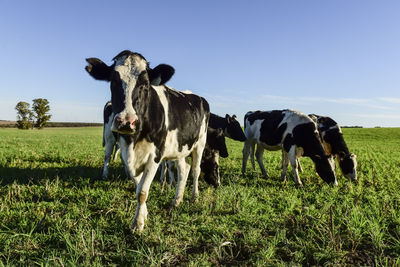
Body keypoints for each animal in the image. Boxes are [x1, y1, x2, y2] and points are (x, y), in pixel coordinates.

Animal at [86, 50, 211, 232]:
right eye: (113, 81)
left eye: (145, 83)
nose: (127, 121)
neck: (134, 139)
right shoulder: (126, 153)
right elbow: (138, 185)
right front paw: (143, 215)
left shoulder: (155, 155)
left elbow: (142, 192)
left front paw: (138, 224)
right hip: (179, 148)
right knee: (184, 169)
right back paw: (177, 200)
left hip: (200, 143)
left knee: (195, 169)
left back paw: (194, 196)